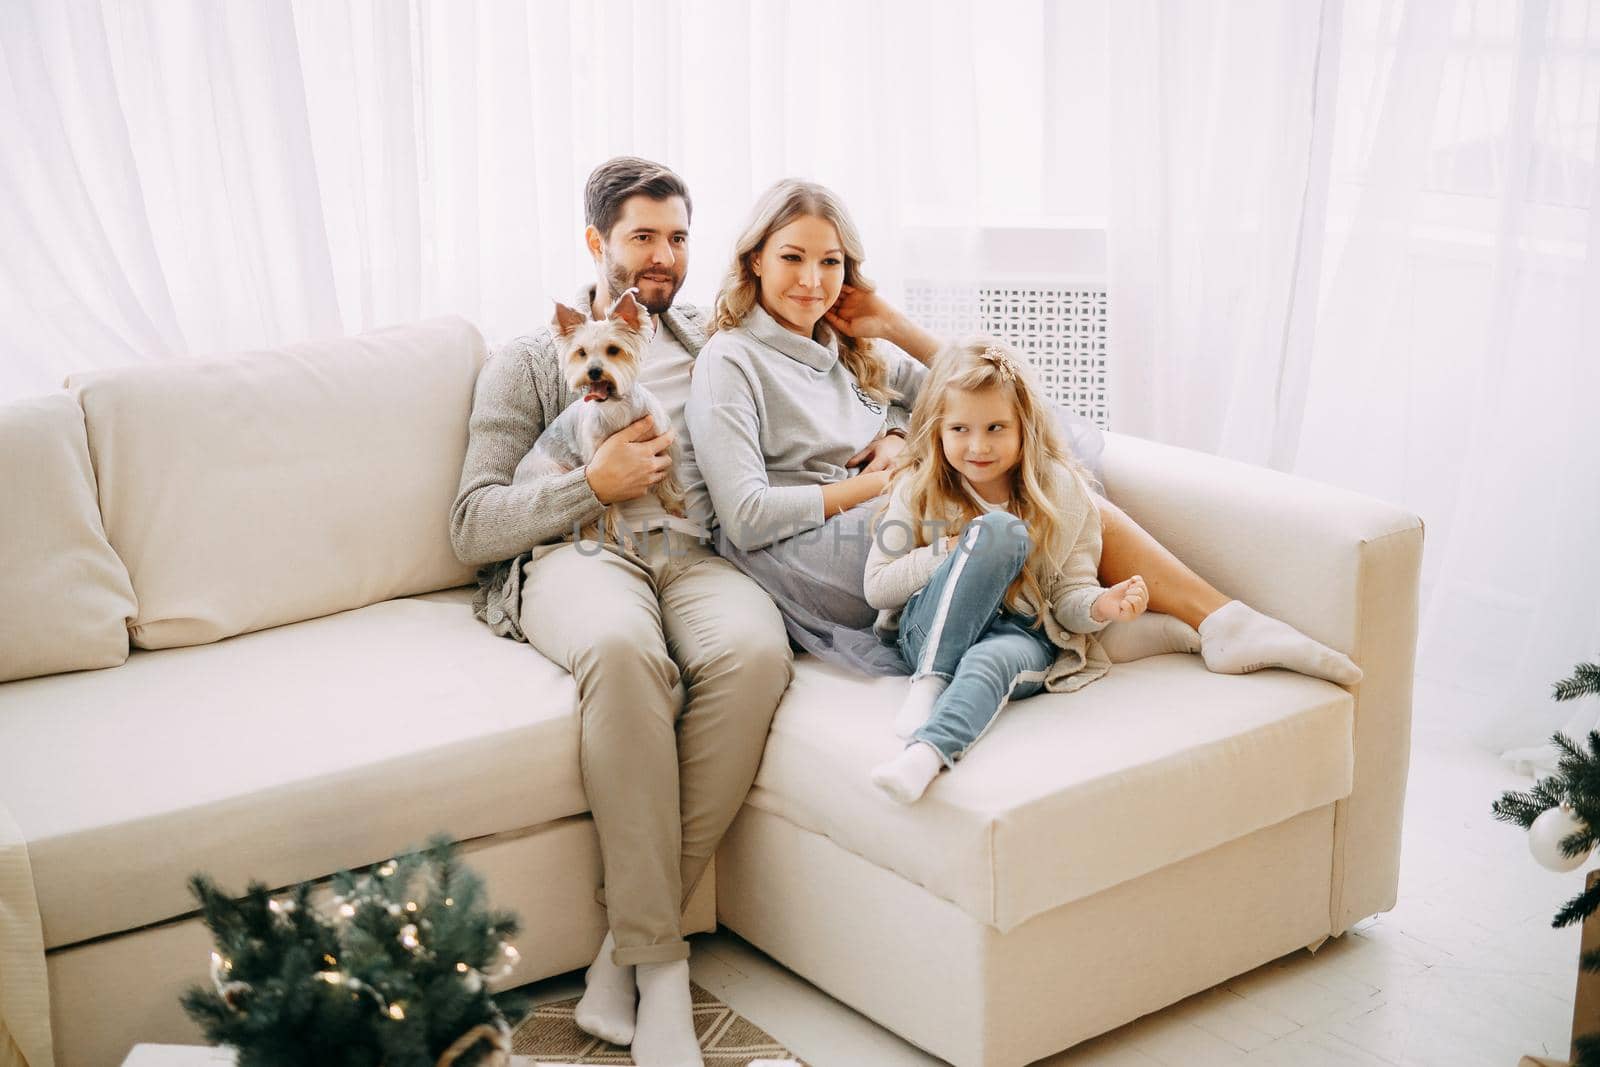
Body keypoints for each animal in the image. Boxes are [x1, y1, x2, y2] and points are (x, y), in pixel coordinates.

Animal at [515, 287, 684, 547]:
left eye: (613, 350)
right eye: (581, 353)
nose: (593, 371)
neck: (616, 407)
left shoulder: (664, 442)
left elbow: (668, 475)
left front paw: (674, 504)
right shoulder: (601, 469)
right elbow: (608, 506)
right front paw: (624, 539)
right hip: (553, 472)